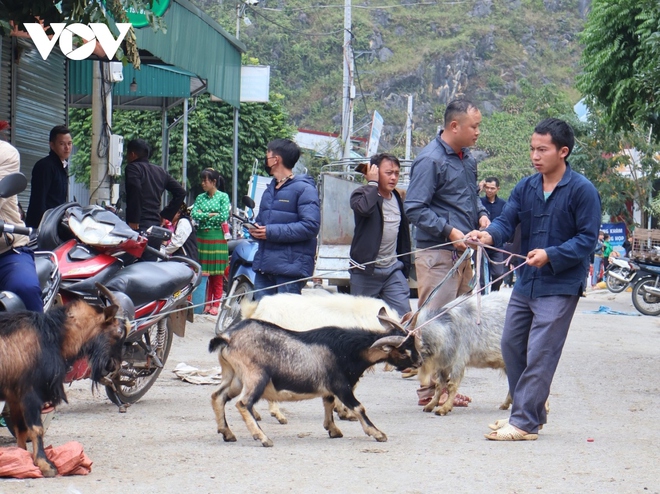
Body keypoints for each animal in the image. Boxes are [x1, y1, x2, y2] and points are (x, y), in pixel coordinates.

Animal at [0, 284, 130, 476]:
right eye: (119, 331)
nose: (114, 365)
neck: (51, 335)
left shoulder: (14, 396)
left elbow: (21, 430)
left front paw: (21, 457)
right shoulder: (29, 391)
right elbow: (36, 428)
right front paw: (45, 465)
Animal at [209, 318, 420, 446]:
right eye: (404, 351)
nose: (419, 362)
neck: (346, 349)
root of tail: (227, 338)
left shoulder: (329, 389)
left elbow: (328, 403)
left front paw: (333, 430)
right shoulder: (341, 386)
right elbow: (359, 407)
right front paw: (377, 433)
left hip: (234, 377)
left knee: (217, 396)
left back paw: (227, 433)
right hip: (256, 376)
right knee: (243, 403)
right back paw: (263, 438)